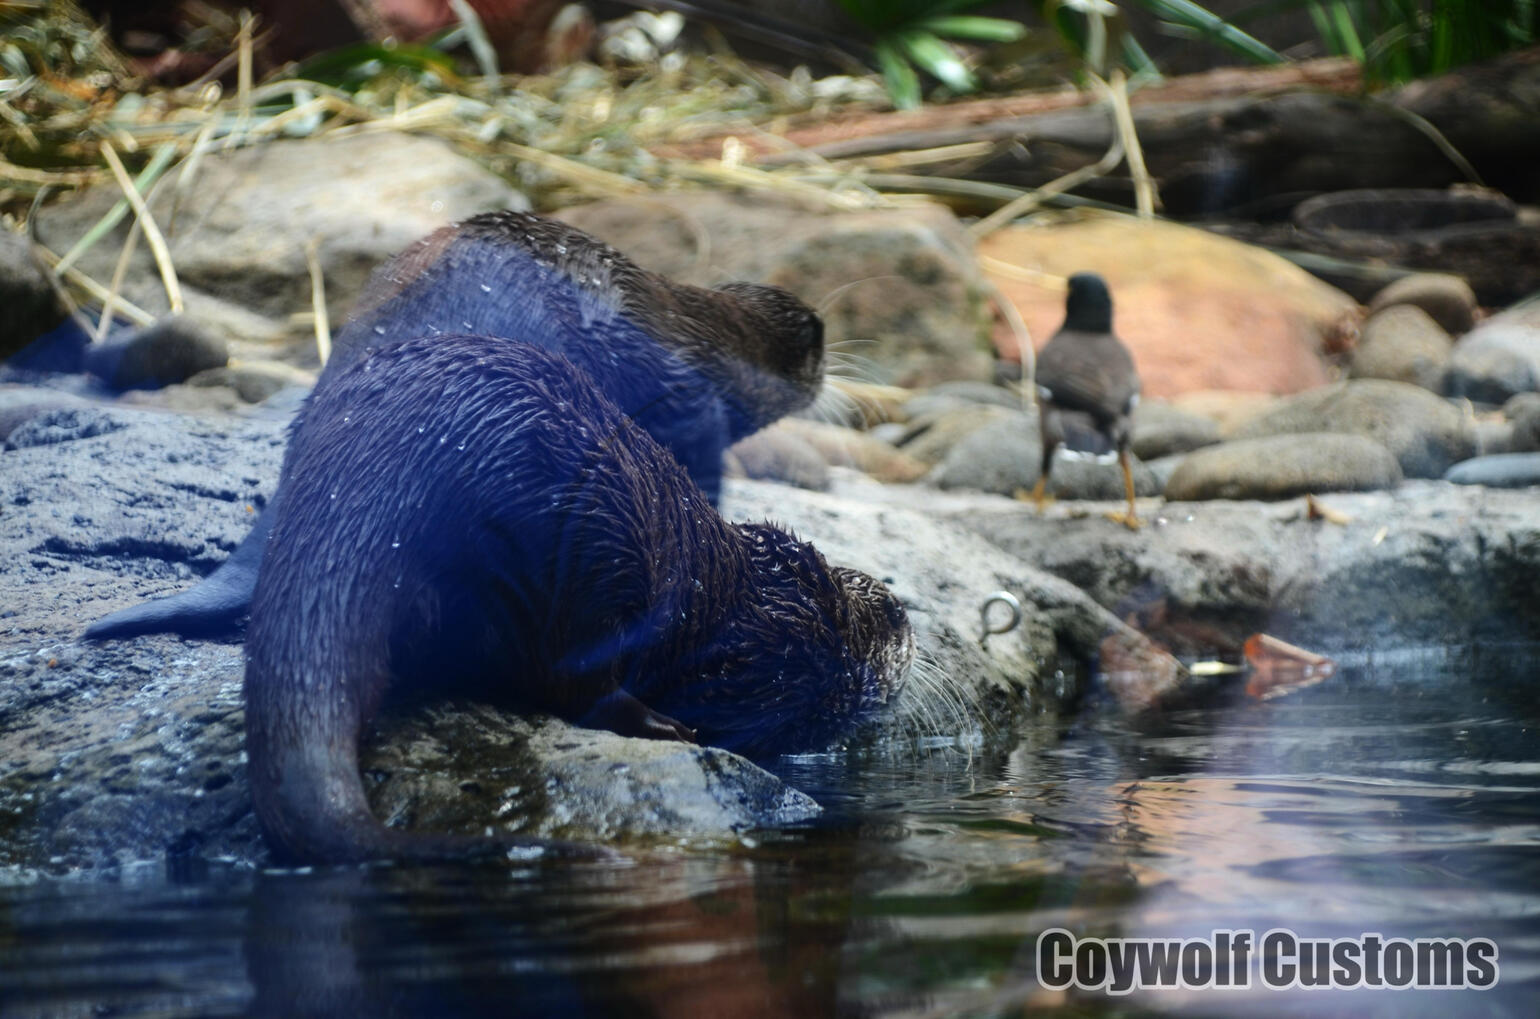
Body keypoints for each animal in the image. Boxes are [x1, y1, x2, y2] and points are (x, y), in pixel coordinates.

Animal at [246, 334, 911, 864]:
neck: (775, 600)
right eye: (886, 615)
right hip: (582, 548)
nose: (906, 613)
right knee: (561, 676)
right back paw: (662, 726)